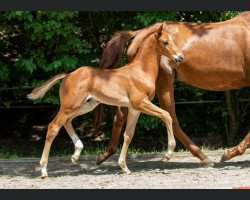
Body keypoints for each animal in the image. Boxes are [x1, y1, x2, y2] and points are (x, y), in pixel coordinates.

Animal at [27, 25, 184, 178]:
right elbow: (166, 115)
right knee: (53, 127)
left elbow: (128, 135)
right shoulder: (140, 103)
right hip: (69, 106)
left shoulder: (135, 109)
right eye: (165, 42)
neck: (140, 72)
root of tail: (67, 75)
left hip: (85, 106)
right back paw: (44, 171)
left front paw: (124, 167)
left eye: (172, 40)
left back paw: (76, 155)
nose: (181, 57)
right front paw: (168, 154)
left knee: (67, 122)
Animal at [95, 10, 250, 166]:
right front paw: (230, 153)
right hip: (163, 82)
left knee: (121, 115)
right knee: (171, 117)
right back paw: (200, 157)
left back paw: (105, 154)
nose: (181, 56)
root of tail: (139, 33)